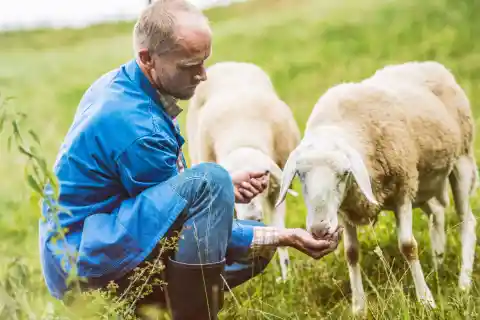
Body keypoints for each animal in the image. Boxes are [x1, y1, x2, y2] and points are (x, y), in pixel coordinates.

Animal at [187, 61, 300, 282]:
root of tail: (228, 64)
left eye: (263, 179)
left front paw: (287, 278)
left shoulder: (276, 190)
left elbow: (280, 232)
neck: (243, 136)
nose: (253, 218)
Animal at [274, 60, 476, 316]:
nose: (319, 229)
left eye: (344, 173)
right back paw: (438, 264)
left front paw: (426, 301)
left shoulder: (403, 190)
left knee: (467, 222)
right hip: (424, 182)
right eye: (300, 175)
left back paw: (464, 283)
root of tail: (429, 65)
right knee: (437, 213)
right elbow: (351, 254)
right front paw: (358, 306)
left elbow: (408, 246)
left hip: (461, 160)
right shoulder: (345, 209)